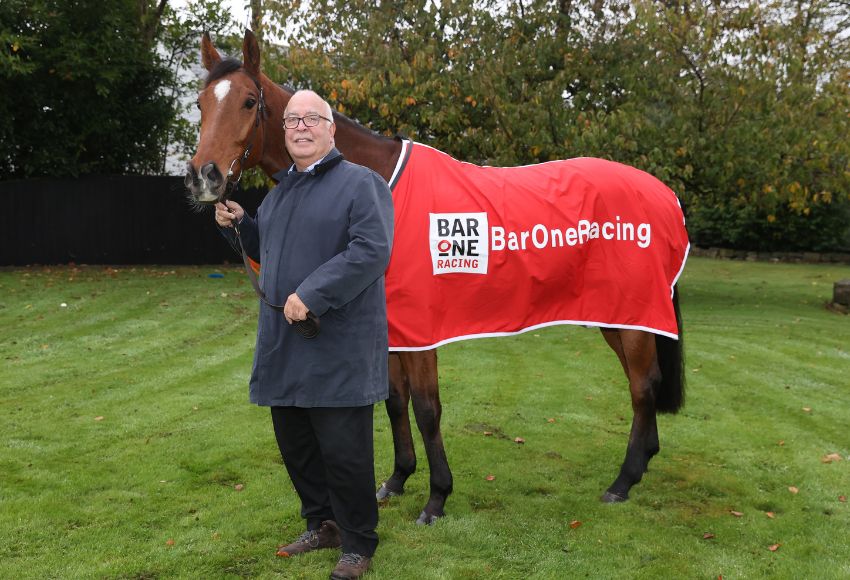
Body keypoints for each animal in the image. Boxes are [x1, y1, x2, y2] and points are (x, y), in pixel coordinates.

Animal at [184, 28, 684, 524]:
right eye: (200, 103)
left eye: (249, 101)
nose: (203, 177)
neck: (381, 183)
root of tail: (664, 194)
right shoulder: (392, 329)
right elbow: (393, 401)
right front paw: (397, 478)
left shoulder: (421, 331)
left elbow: (427, 408)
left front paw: (437, 497)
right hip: (617, 316)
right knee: (644, 382)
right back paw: (643, 462)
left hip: (631, 313)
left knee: (643, 386)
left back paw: (622, 482)